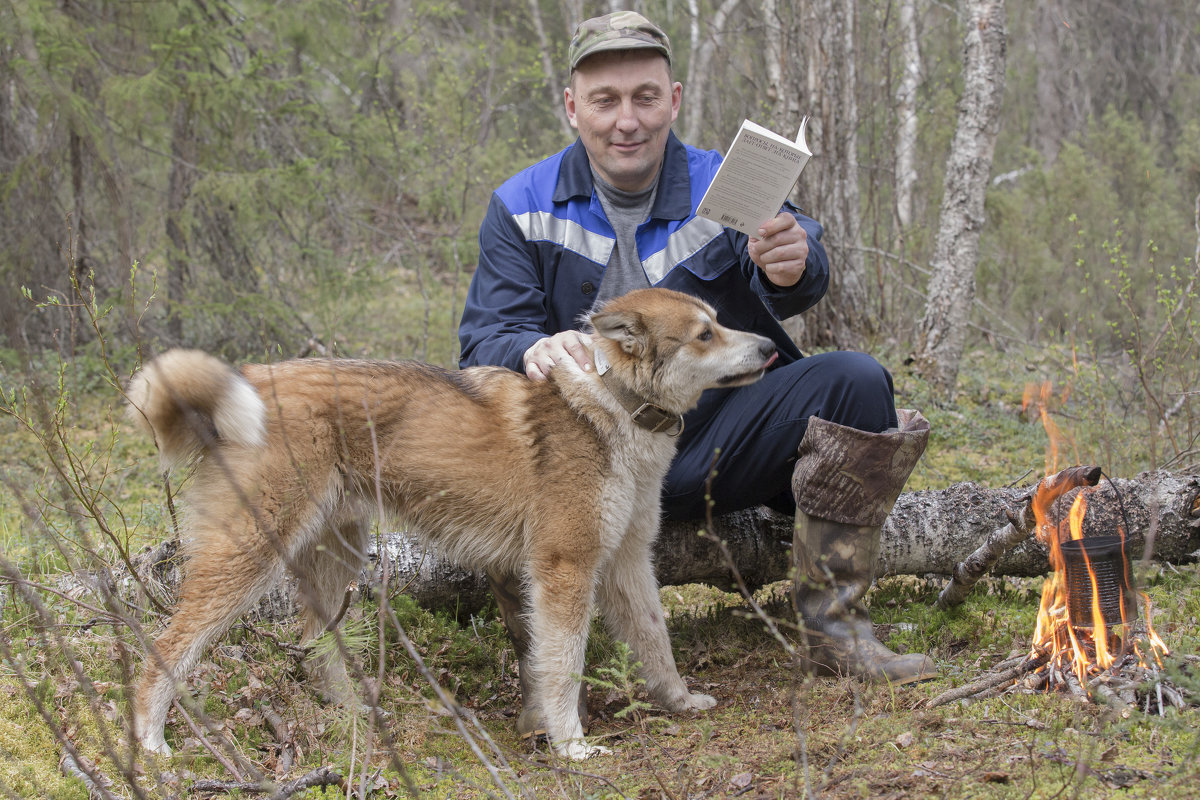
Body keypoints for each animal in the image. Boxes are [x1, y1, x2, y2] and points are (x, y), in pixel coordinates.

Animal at [124, 286, 777, 758]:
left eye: (718, 322)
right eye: (704, 333)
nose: (771, 346)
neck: (613, 404)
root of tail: (252, 380)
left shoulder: (626, 561)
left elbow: (655, 642)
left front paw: (679, 702)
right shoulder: (564, 569)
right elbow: (562, 668)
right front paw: (571, 746)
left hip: (338, 558)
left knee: (315, 650)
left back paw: (357, 720)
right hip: (249, 556)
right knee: (165, 649)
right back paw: (152, 743)